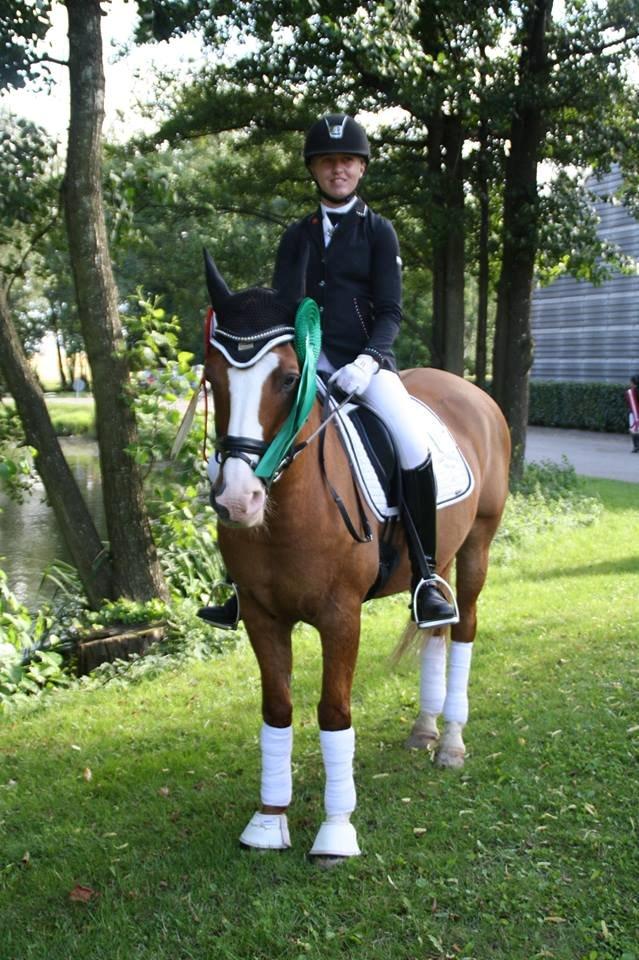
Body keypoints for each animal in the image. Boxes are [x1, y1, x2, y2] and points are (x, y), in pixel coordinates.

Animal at [202, 251, 511, 861]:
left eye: (288, 378)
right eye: (212, 377)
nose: (237, 501)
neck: (292, 511)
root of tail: (471, 392)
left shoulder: (340, 616)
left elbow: (334, 711)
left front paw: (336, 831)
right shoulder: (261, 616)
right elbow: (277, 709)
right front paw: (268, 820)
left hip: (477, 547)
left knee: (464, 630)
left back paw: (451, 742)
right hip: (434, 561)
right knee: (437, 629)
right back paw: (424, 729)